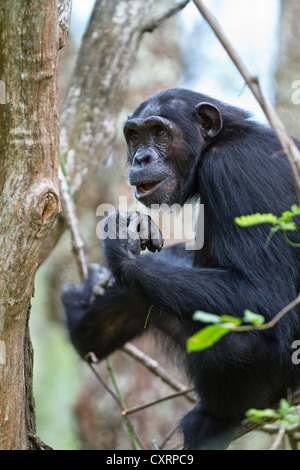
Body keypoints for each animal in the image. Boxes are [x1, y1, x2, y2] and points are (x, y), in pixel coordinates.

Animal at [61, 89, 300, 452]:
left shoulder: (232, 167)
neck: (217, 143)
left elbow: (266, 295)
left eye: (159, 132)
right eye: (134, 135)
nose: (141, 158)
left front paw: (123, 246)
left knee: (232, 338)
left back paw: (215, 421)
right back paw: (81, 322)